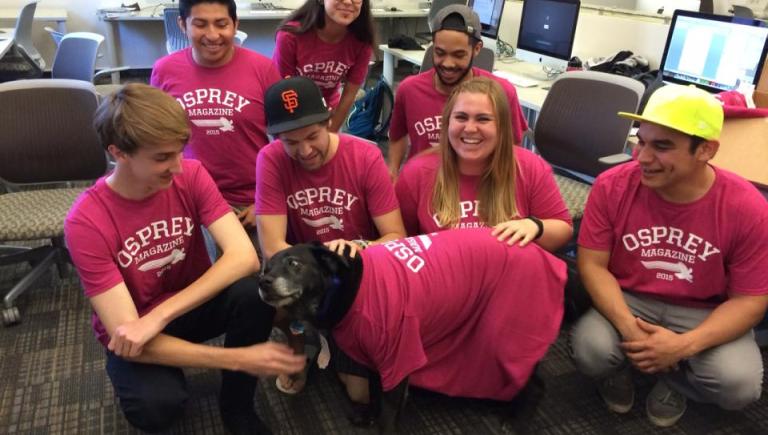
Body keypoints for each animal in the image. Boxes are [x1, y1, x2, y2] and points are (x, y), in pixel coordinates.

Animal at [260, 228, 568, 432]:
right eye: (265, 267)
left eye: (294, 263)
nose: (263, 282)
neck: (347, 287)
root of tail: (544, 254)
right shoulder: (377, 360)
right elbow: (375, 394)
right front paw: (368, 415)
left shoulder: (398, 360)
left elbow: (388, 417)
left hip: (506, 339)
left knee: (535, 386)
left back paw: (517, 422)